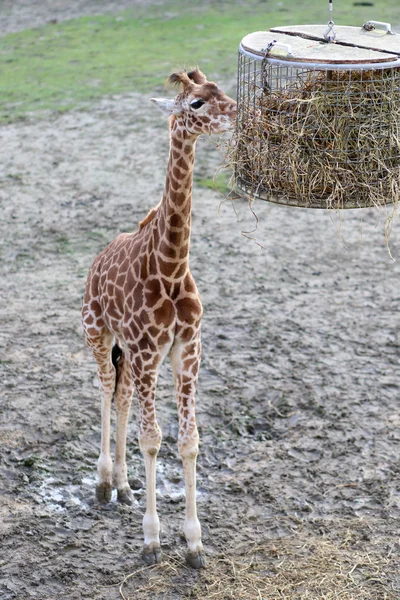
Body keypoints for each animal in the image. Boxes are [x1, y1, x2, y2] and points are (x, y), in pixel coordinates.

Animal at [81, 68, 238, 568]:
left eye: (220, 89)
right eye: (196, 103)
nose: (238, 112)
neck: (170, 267)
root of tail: (97, 259)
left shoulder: (186, 352)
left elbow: (188, 441)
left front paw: (194, 543)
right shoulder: (150, 351)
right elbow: (152, 439)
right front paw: (151, 541)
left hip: (130, 355)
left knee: (123, 395)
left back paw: (125, 488)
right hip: (97, 333)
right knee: (105, 390)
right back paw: (103, 483)